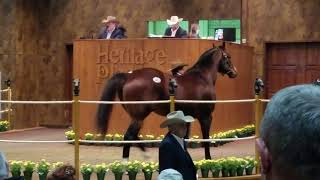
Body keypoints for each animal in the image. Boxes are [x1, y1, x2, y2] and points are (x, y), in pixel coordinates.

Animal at [97, 43, 238, 160]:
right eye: (228, 57)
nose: (234, 73)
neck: (202, 78)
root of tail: (129, 76)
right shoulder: (206, 117)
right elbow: (206, 138)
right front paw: (208, 159)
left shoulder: (187, 117)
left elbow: (185, 138)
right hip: (139, 116)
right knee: (128, 136)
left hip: (136, 117)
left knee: (133, 136)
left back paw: (146, 155)